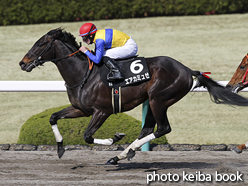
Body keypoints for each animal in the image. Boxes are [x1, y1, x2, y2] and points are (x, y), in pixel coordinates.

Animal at [19, 28, 248, 164]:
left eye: (41, 43)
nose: (22, 63)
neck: (83, 73)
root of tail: (186, 69)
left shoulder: (101, 111)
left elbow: (87, 136)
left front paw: (114, 137)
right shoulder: (80, 109)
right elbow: (53, 117)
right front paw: (59, 148)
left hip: (159, 99)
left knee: (163, 128)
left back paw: (122, 152)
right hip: (154, 100)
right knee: (147, 129)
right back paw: (122, 154)